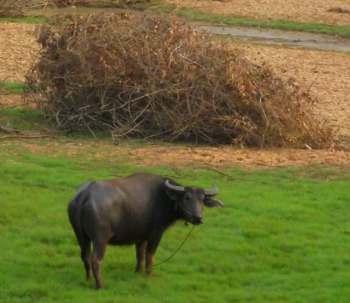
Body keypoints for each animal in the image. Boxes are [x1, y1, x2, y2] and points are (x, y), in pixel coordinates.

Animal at [67, 173, 223, 290]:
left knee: (85, 256)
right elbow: (149, 255)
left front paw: (138, 271)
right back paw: (100, 285)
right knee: (96, 259)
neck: (164, 197)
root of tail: (85, 195)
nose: (198, 218)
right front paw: (149, 274)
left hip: (81, 236)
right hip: (100, 238)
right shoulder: (156, 234)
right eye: (187, 197)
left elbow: (140, 254)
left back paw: (88, 279)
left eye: (202, 199)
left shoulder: (141, 236)